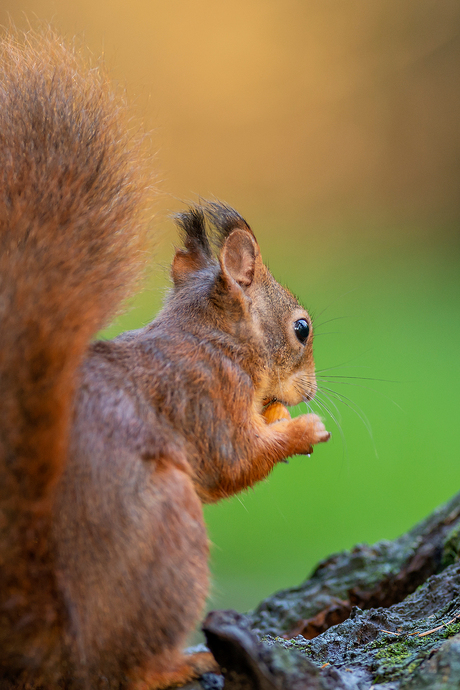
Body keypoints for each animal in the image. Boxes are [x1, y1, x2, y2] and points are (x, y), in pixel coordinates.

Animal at [0, 28, 330, 688]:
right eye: (301, 329)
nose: (308, 390)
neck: (213, 341)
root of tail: (57, 649)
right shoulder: (204, 392)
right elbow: (234, 461)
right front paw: (303, 428)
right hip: (168, 531)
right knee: (126, 671)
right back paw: (182, 660)